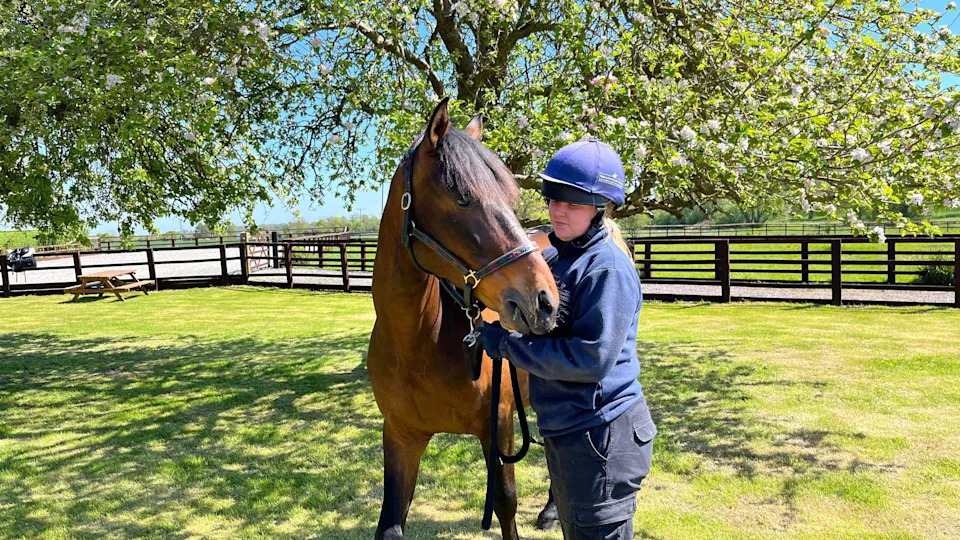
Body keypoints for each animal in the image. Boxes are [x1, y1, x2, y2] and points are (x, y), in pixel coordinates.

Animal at [368, 98, 560, 539]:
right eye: (461, 196)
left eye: (510, 194)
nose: (543, 299)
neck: (416, 345)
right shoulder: (401, 436)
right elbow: (390, 523)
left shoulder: (500, 426)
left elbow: (505, 504)